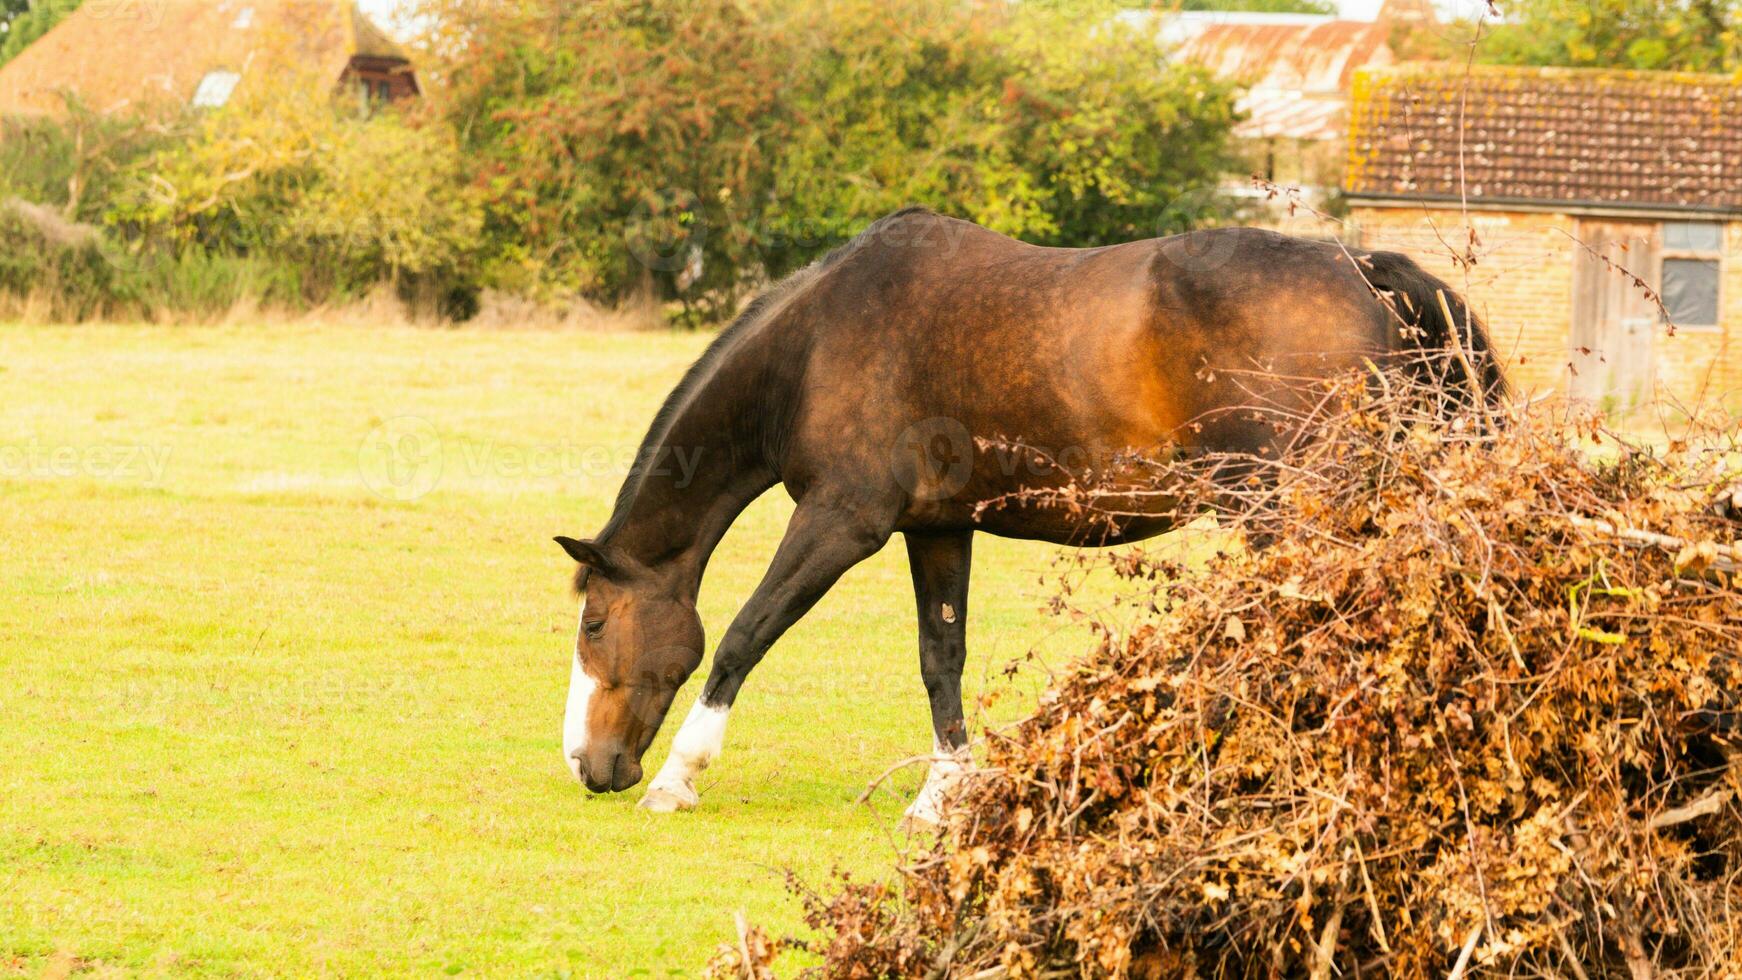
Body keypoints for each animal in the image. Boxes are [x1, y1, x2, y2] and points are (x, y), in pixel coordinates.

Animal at [557, 207, 1512, 821]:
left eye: (596, 624)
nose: (588, 765)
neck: (817, 343)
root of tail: (1371, 275)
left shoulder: (839, 522)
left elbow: (744, 635)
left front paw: (678, 776)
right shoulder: (937, 527)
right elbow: (940, 658)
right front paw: (941, 796)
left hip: (1291, 514)